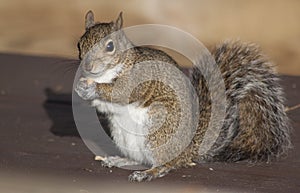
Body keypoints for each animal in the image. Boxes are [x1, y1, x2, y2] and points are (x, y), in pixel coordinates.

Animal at [74, 10, 290, 182]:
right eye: (79, 44)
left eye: (110, 46)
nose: (87, 66)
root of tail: (189, 150)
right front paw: (80, 88)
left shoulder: (139, 78)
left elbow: (121, 92)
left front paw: (94, 88)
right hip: (123, 136)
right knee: (139, 158)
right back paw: (121, 159)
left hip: (159, 130)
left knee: (167, 164)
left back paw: (149, 173)